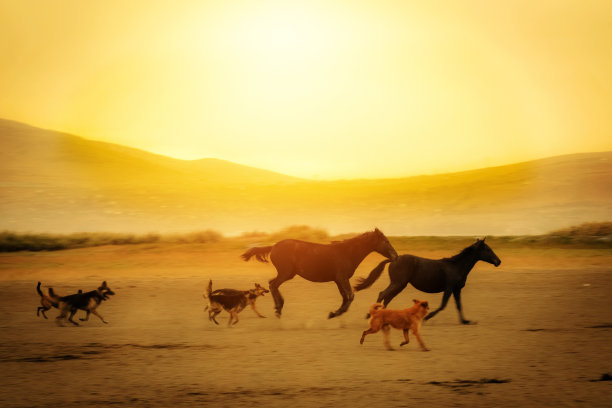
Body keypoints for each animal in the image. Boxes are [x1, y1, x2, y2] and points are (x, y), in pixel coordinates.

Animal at [239, 228, 396, 318]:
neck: (347, 252)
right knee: (273, 284)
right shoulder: (342, 278)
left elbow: (345, 296)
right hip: (286, 273)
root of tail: (273, 246)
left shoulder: (338, 280)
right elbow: (350, 296)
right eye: (386, 241)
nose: (395, 256)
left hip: (287, 274)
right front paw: (335, 313)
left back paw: (279, 307)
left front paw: (334, 313)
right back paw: (278, 309)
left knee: (272, 283)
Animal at [354, 237, 502, 324]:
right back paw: (371, 315)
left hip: (399, 285)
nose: (498, 262)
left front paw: (466, 321)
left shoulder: (456, 289)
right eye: (488, 249)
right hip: (398, 283)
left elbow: (459, 305)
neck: (456, 266)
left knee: (387, 297)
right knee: (383, 294)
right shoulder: (449, 288)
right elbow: (443, 305)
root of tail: (394, 259)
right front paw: (426, 317)